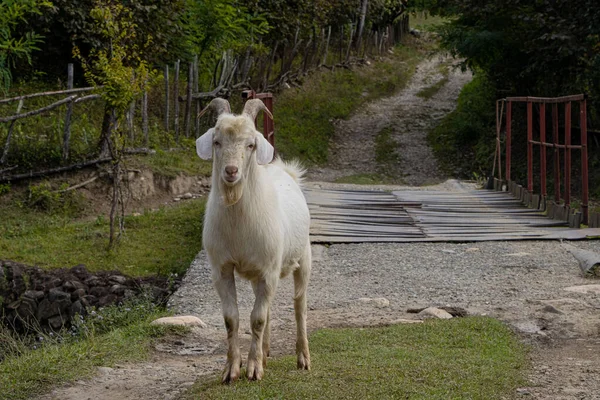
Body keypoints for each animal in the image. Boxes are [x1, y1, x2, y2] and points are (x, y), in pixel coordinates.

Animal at [197, 98, 312, 382]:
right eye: (216, 141)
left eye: (251, 144)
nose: (231, 171)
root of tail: (284, 171)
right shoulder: (222, 269)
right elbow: (233, 319)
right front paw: (232, 369)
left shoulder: (269, 270)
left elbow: (257, 319)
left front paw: (253, 369)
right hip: (257, 275)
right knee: (268, 309)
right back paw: (266, 352)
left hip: (303, 258)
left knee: (299, 305)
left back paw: (303, 357)